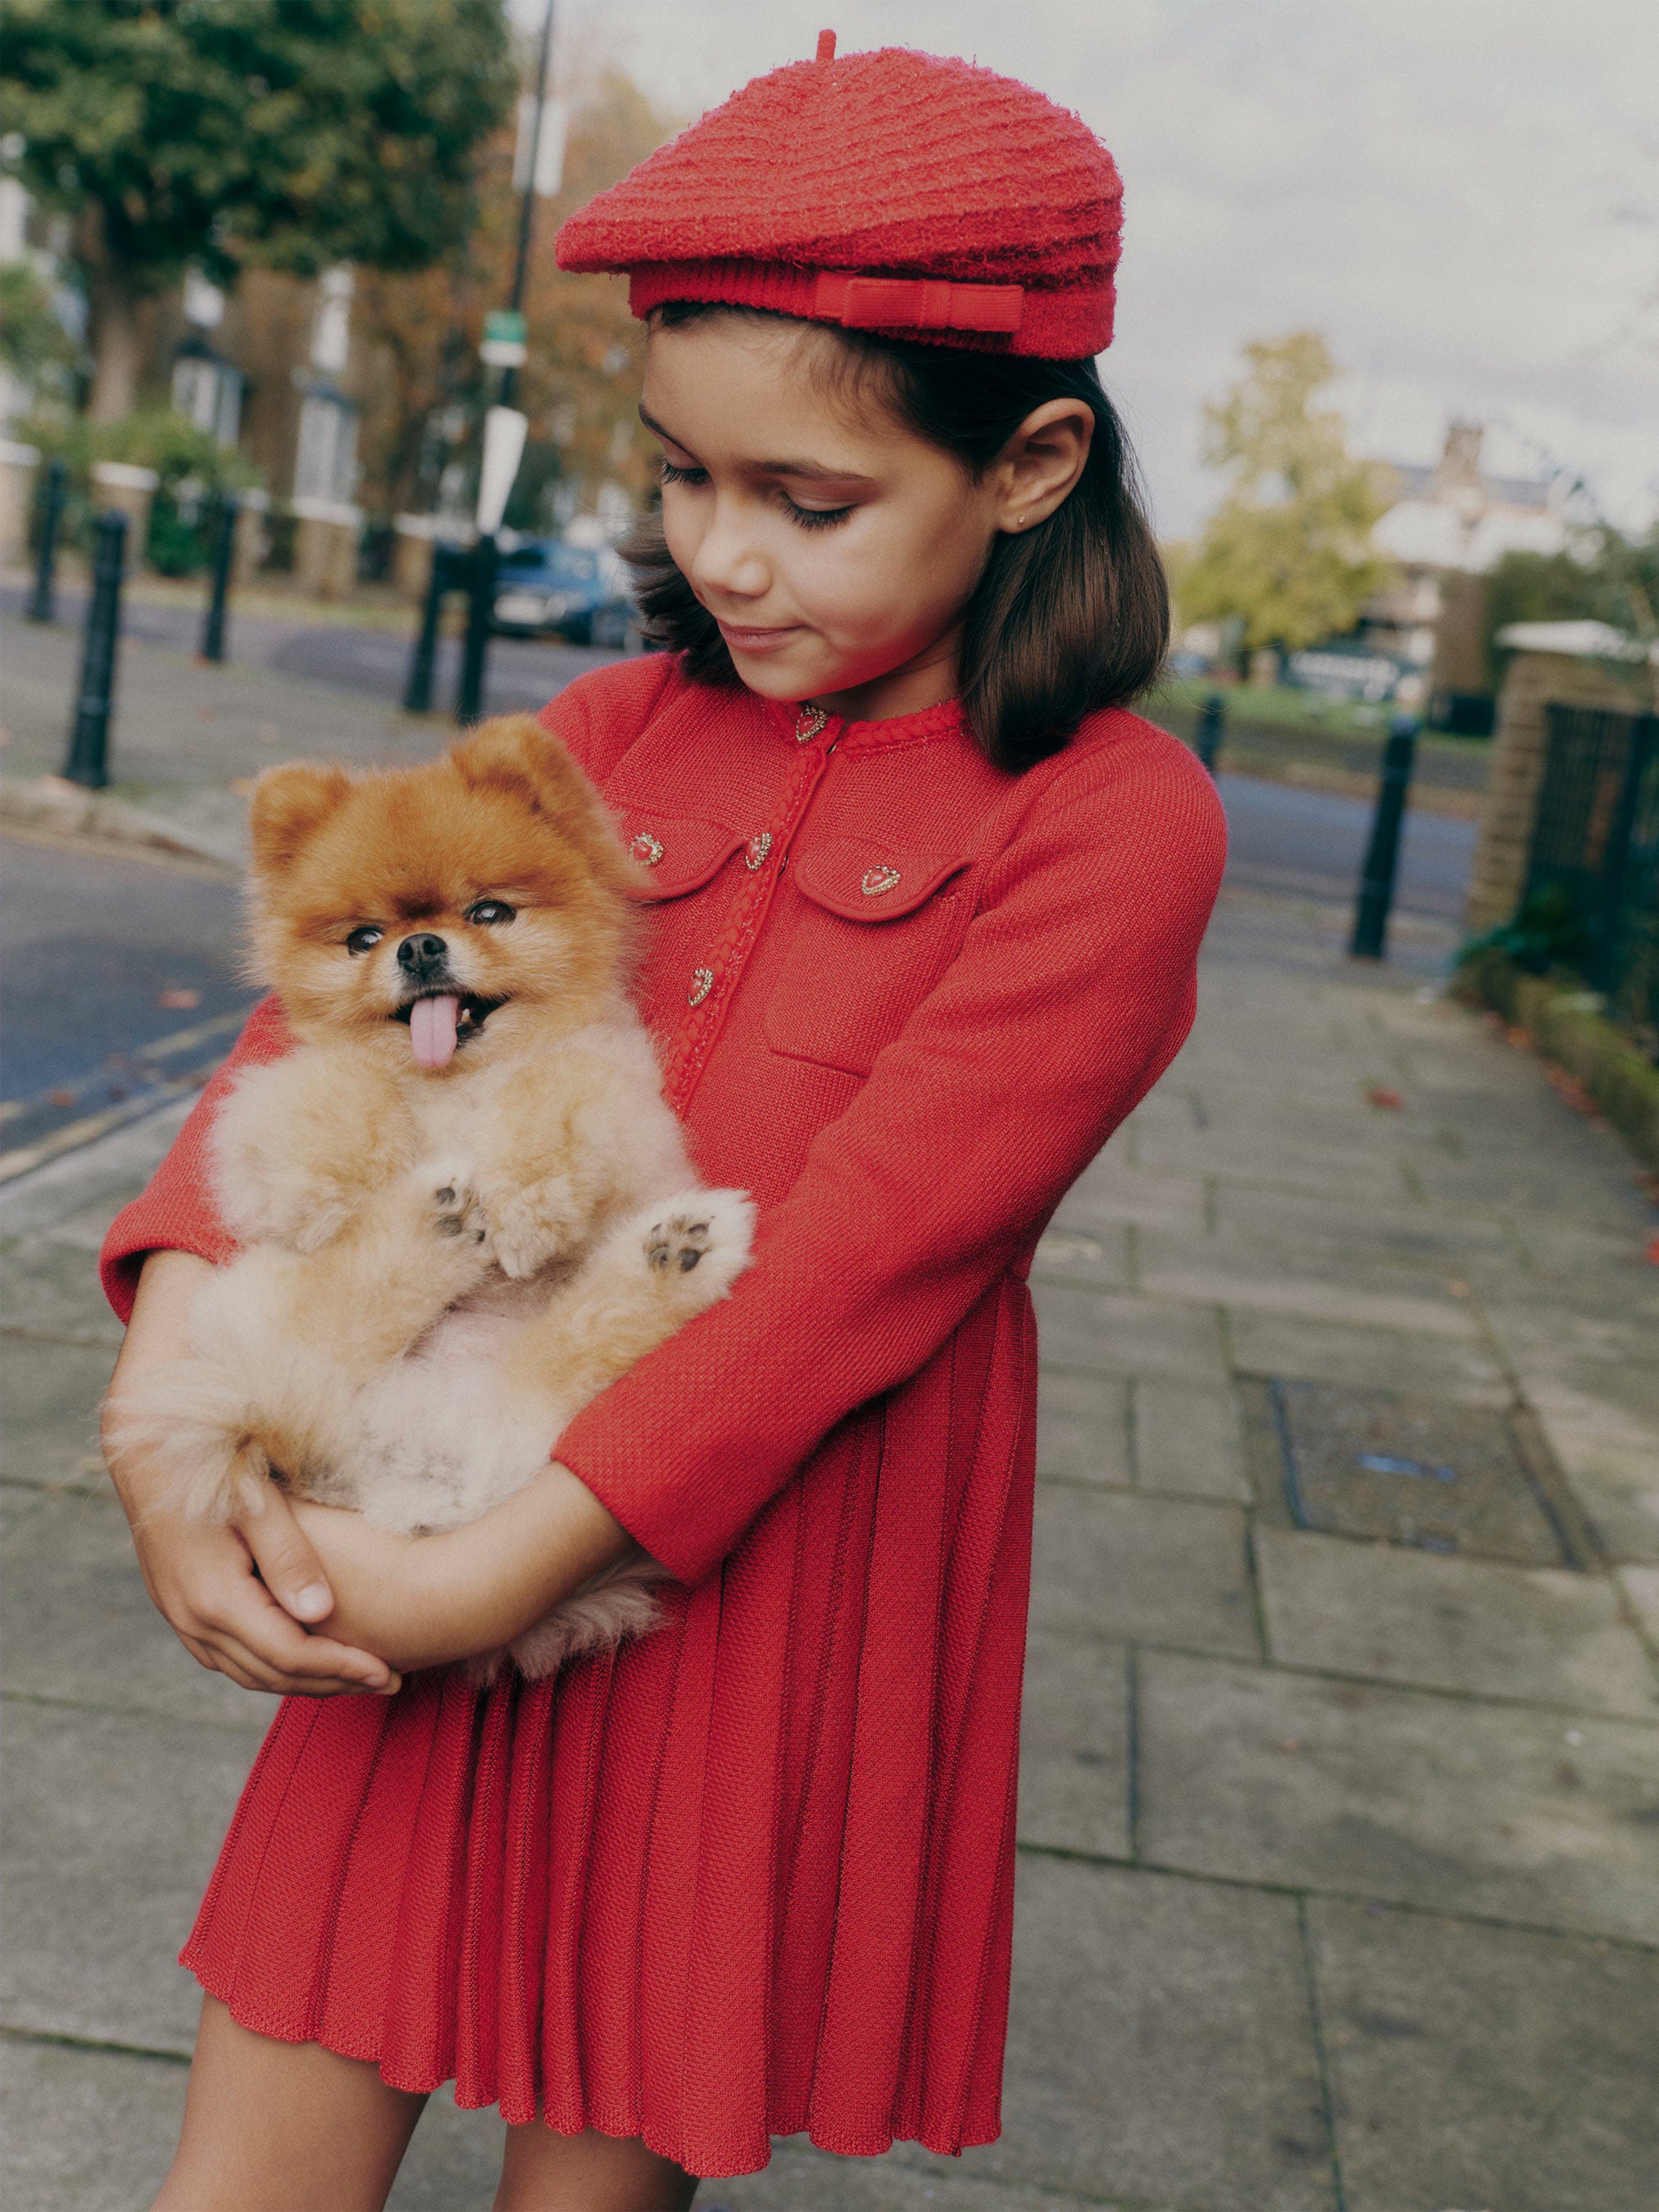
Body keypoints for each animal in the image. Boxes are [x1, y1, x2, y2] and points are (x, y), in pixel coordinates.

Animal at [117, 721, 761, 1672]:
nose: (419, 948)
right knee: (339, 1321)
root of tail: (369, 1476)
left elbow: (551, 1088)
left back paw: (671, 1252)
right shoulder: (270, 1104)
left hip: (504, 1417)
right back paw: (444, 1221)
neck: (453, 1087)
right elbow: (335, 1086)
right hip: (259, 1320)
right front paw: (336, 1184)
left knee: (555, 1361)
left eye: (489, 913)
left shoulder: (620, 1101)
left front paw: (523, 1204)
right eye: (363, 938)